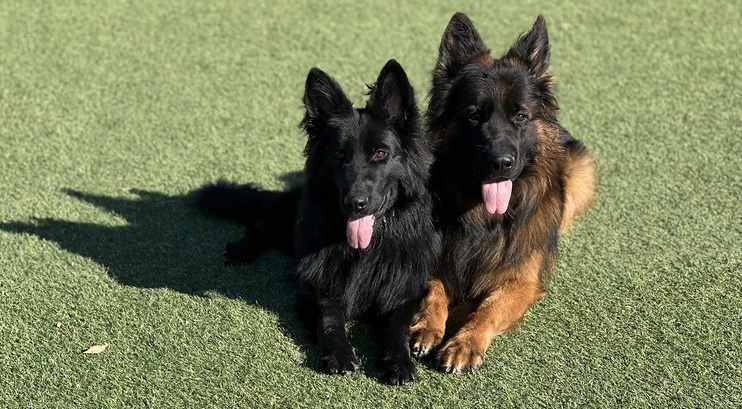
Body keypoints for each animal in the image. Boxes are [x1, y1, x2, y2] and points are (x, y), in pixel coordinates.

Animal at [196, 59, 442, 384]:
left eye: (380, 153)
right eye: (339, 155)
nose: (355, 203)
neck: (367, 249)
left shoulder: (402, 286)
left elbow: (397, 324)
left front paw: (398, 361)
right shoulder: (319, 282)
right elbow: (329, 317)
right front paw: (339, 353)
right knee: (265, 222)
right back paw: (241, 248)